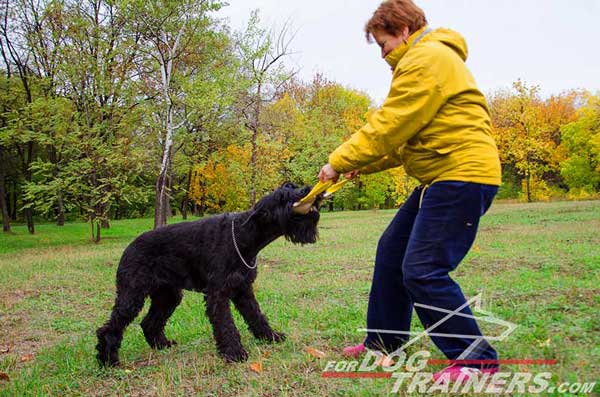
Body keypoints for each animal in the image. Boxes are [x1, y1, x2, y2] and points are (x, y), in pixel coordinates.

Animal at [96, 183, 322, 366]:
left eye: (292, 186)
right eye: (283, 196)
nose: (309, 190)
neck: (243, 236)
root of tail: (128, 248)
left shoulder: (243, 289)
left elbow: (256, 315)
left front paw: (270, 336)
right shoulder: (218, 293)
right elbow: (226, 325)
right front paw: (235, 353)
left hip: (168, 295)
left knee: (150, 322)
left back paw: (162, 345)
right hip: (132, 296)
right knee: (110, 327)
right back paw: (108, 360)